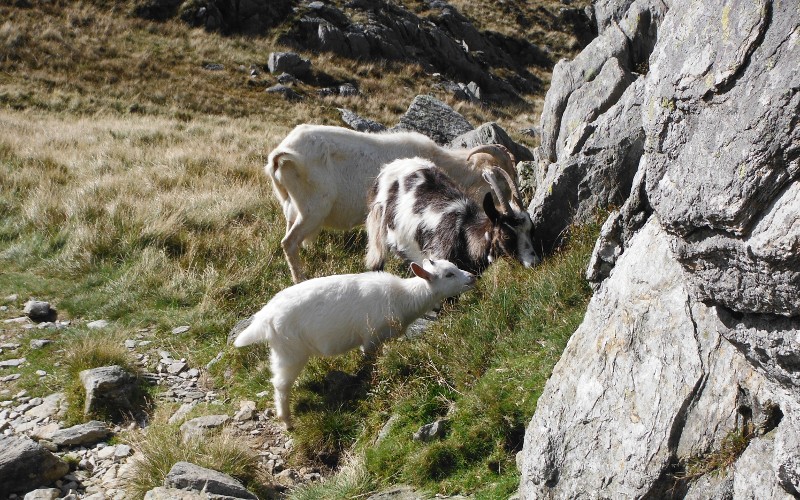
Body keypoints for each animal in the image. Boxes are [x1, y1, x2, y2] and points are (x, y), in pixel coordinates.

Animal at [231, 260, 476, 428]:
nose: (472, 277)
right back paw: (287, 419)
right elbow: (370, 361)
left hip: (280, 351)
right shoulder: (371, 339)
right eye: (449, 274)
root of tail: (265, 317)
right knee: (280, 384)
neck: (404, 297)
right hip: (291, 351)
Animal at [266, 123, 516, 284]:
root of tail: (281, 155)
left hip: (292, 208)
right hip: (313, 209)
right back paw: (300, 280)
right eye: (499, 187)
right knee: (289, 242)